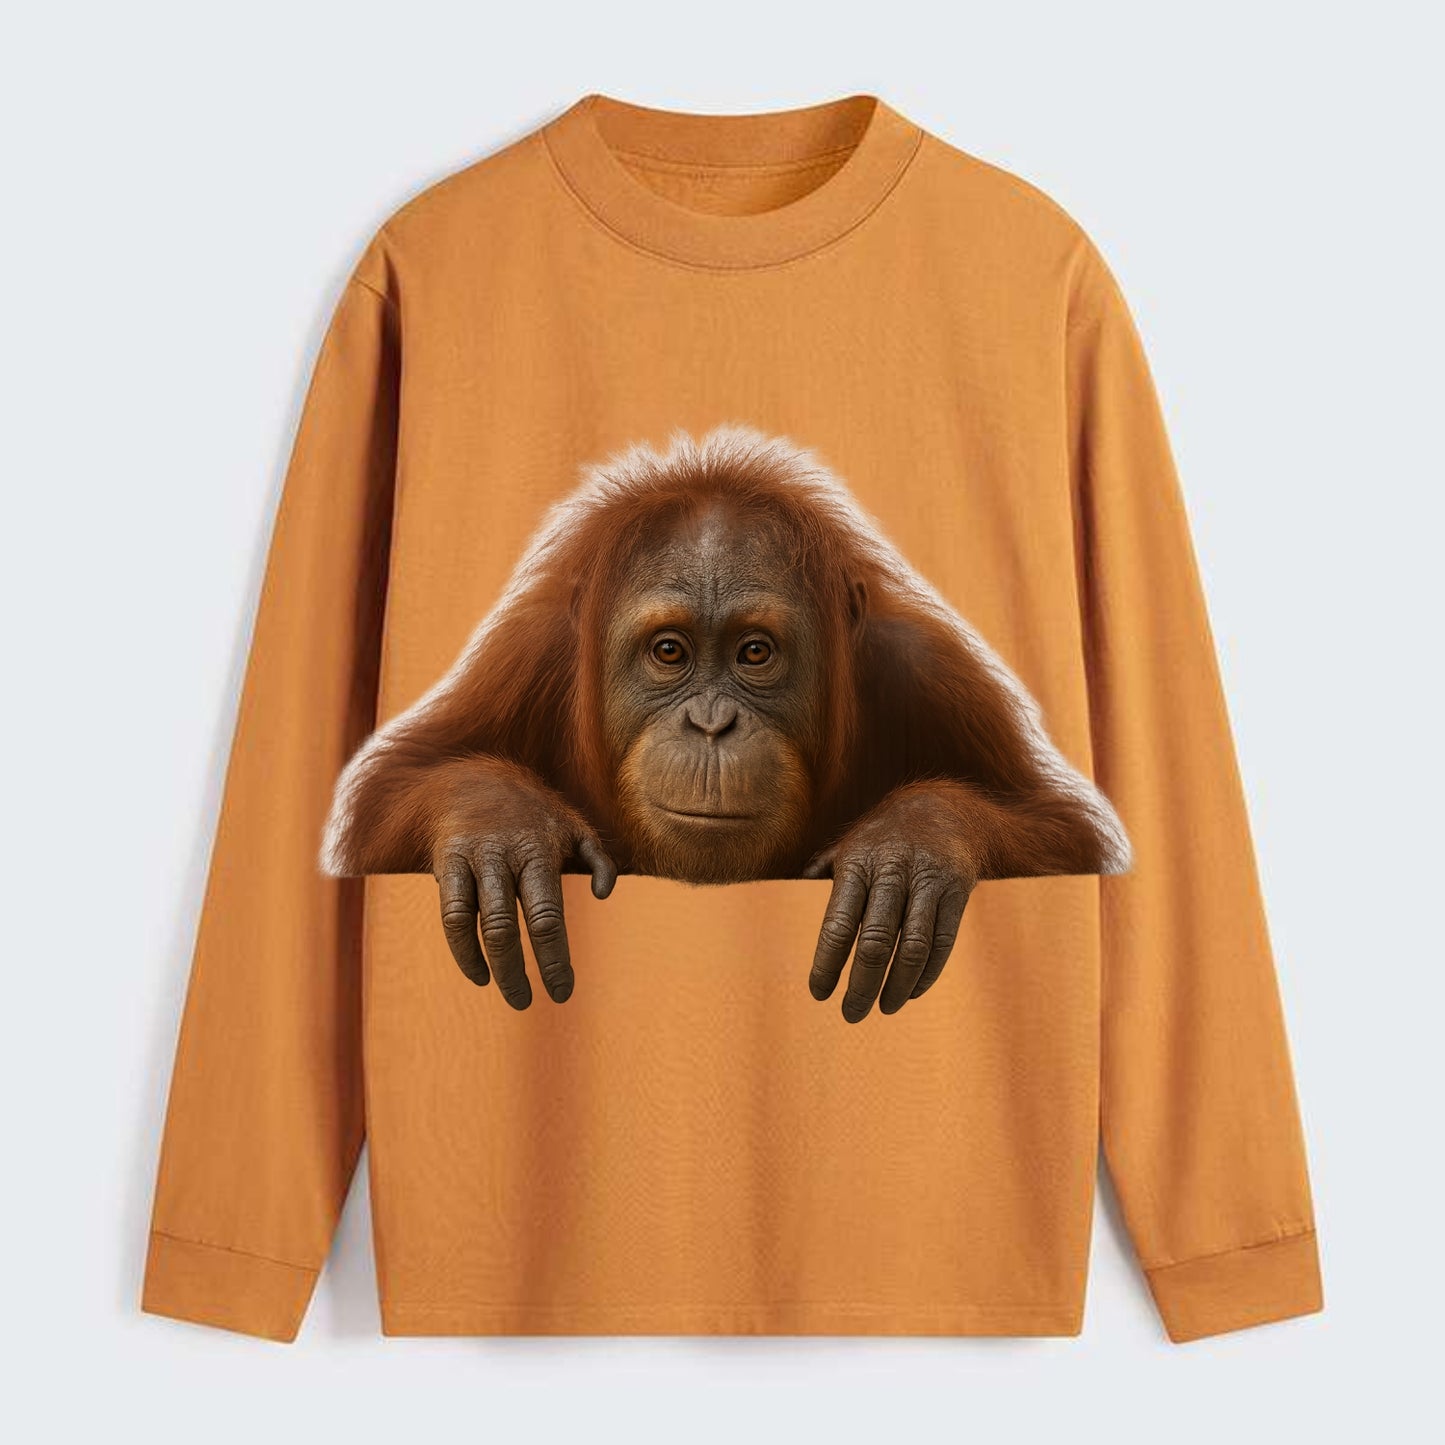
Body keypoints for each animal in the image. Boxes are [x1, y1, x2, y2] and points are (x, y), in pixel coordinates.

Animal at [320, 425, 1130, 1022]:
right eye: (669, 652)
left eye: (754, 652)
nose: (711, 724)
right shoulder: (529, 656)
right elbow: (391, 797)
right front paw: (501, 830)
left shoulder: (929, 672)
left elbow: (1060, 834)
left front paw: (911, 848)